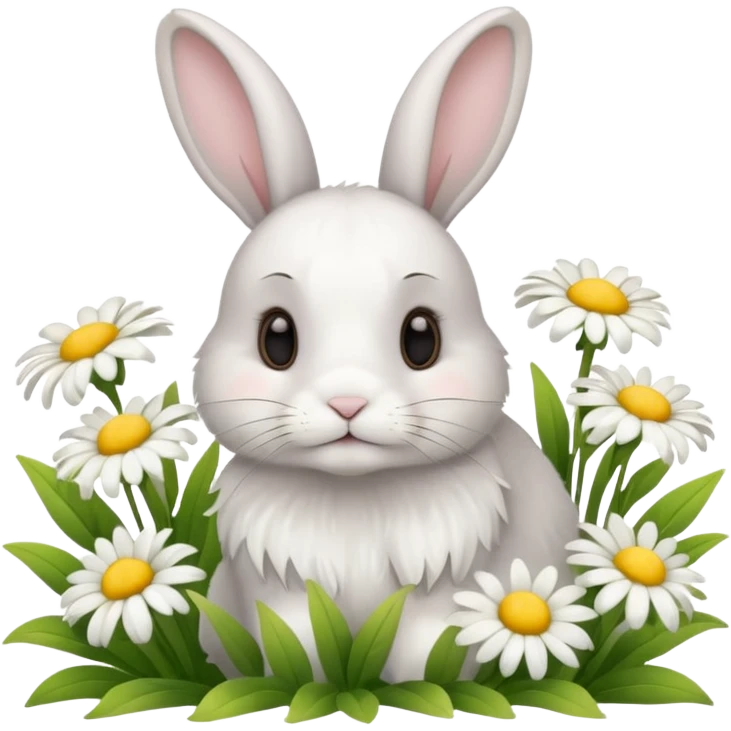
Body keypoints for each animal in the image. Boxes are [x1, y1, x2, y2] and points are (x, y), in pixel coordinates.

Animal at [153, 7, 579, 683]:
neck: (354, 494)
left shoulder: (444, 596)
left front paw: (420, 689)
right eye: (276, 339)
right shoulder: (280, 595)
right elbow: (297, 650)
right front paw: (308, 685)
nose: (347, 404)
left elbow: (427, 653)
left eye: (422, 338)